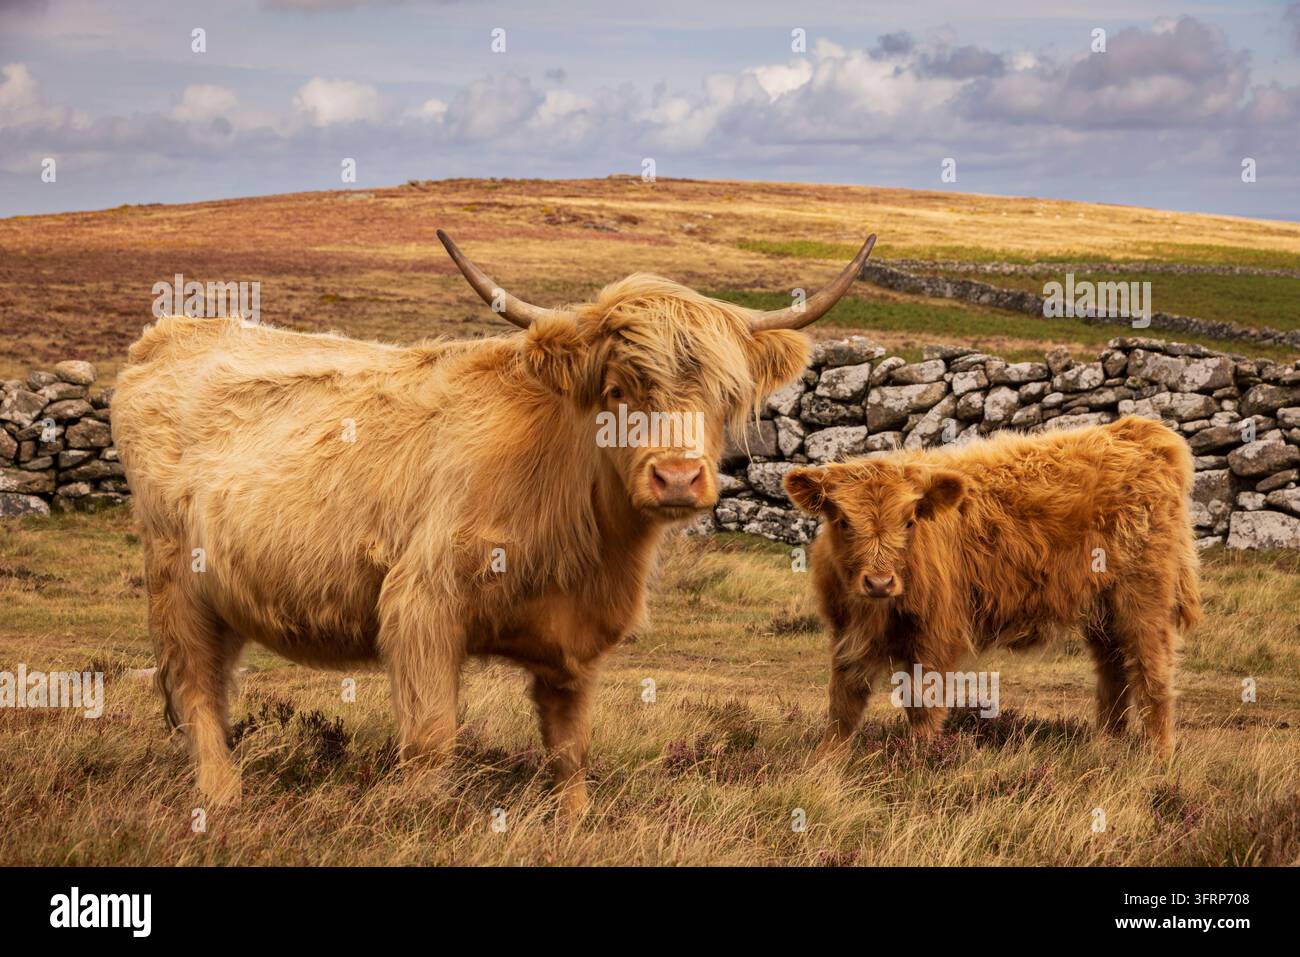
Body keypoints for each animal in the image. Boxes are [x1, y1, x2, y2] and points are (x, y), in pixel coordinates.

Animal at [111, 230, 877, 812]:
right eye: (617, 389)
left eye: (723, 394)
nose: (678, 477)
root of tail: (168, 332)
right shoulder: (420, 606)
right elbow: (430, 742)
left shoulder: (575, 640)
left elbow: (569, 750)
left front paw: (575, 822)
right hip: (173, 578)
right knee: (195, 686)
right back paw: (222, 797)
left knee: (211, 687)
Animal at [783, 416, 1200, 759]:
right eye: (842, 520)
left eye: (909, 521)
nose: (879, 582)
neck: (877, 609)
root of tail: (1136, 431)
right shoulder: (846, 635)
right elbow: (843, 704)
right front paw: (825, 762)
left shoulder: (934, 637)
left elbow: (923, 705)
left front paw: (920, 759)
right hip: (1103, 607)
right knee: (1113, 669)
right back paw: (1107, 745)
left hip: (1145, 597)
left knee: (1151, 671)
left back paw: (1158, 756)